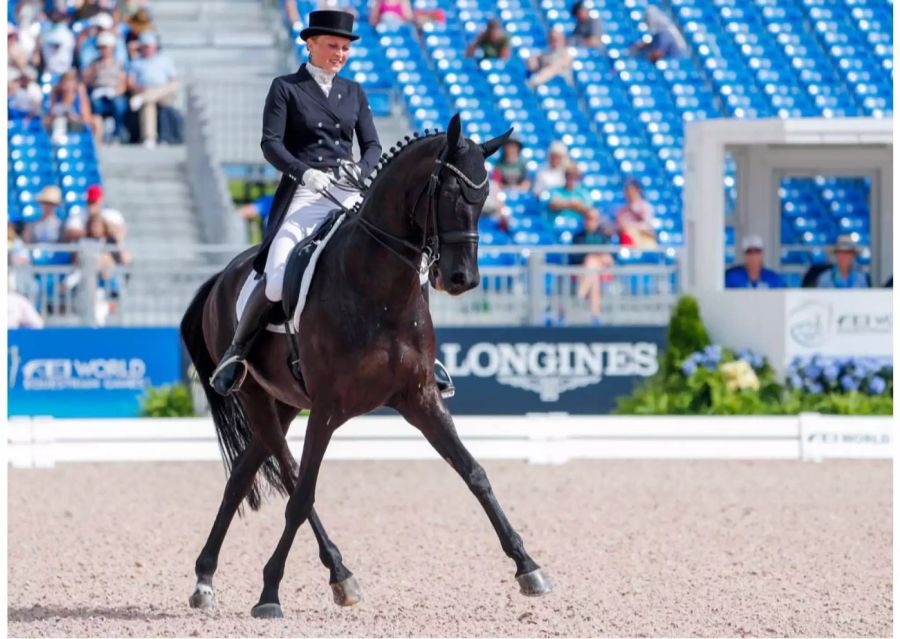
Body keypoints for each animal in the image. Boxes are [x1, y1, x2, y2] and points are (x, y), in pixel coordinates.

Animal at [180, 115, 552, 620]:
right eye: (449, 192)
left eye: (486, 196)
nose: (463, 279)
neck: (379, 291)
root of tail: (224, 276)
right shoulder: (328, 408)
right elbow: (302, 495)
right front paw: (270, 592)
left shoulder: (420, 398)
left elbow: (474, 473)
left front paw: (527, 566)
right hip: (255, 395)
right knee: (290, 476)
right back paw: (334, 574)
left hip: (284, 402)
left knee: (242, 474)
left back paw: (208, 577)